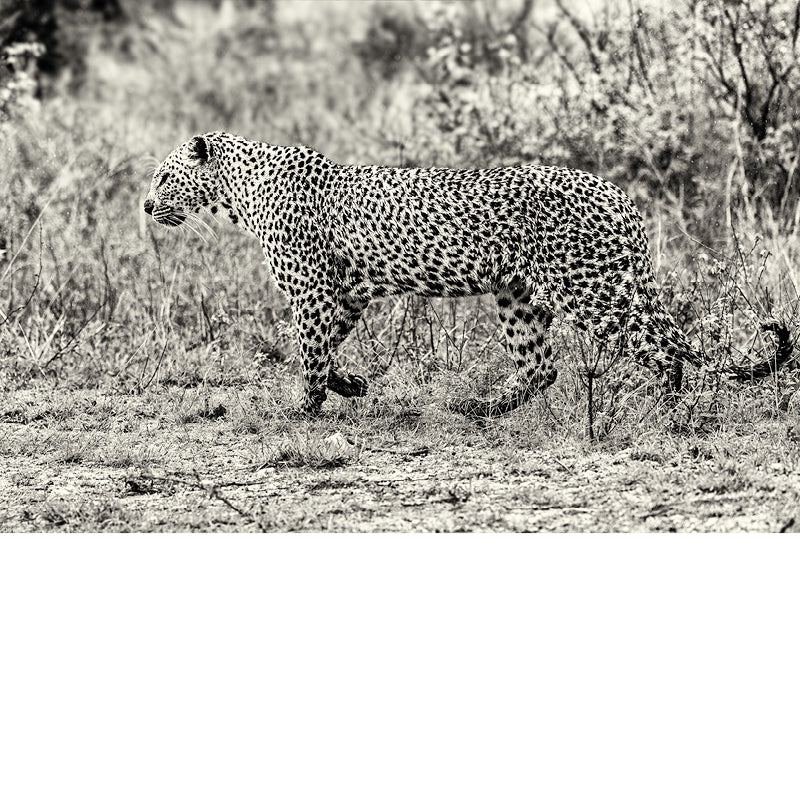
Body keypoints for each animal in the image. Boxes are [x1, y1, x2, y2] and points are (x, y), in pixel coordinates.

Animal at [144, 131, 792, 416]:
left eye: (163, 177)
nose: (147, 206)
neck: (238, 189)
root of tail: (620, 197)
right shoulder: (345, 295)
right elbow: (325, 351)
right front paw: (348, 386)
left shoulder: (315, 291)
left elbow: (309, 352)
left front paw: (303, 409)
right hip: (519, 296)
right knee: (543, 367)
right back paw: (482, 408)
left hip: (593, 289)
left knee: (662, 347)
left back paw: (668, 412)